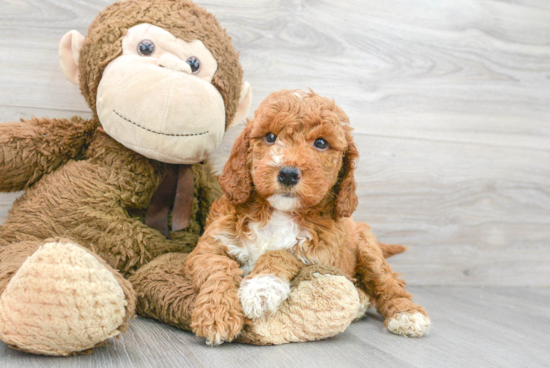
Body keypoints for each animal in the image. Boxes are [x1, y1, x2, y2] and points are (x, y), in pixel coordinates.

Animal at [185, 88, 432, 342]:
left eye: (321, 143)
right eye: (270, 137)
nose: (288, 173)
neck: (278, 212)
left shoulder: (320, 251)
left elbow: (281, 253)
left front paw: (261, 288)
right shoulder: (211, 245)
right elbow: (218, 268)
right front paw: (217, 313)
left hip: (368, 251)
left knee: (387, 283)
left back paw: (407, 314)